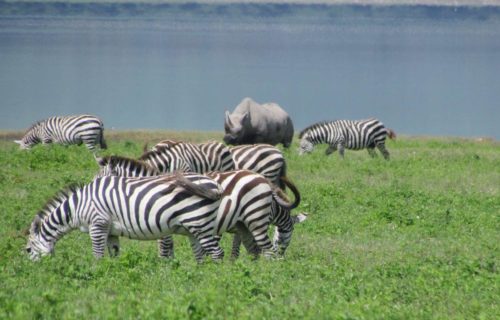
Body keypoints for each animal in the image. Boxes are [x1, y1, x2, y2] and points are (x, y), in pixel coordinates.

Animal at [24, 172, 225, 262]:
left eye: (27, 250)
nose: (32, 273)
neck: (78, 206)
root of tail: (215, 185)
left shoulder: (98, 224)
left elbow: (97, 255)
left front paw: (95, 274)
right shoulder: (111, 231)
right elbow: (114, 254)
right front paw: (113, 273)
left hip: (200, 224)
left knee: (217, 253)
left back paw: (215, 279)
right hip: (194, 227)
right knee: (200, 255)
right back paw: (198, 277)